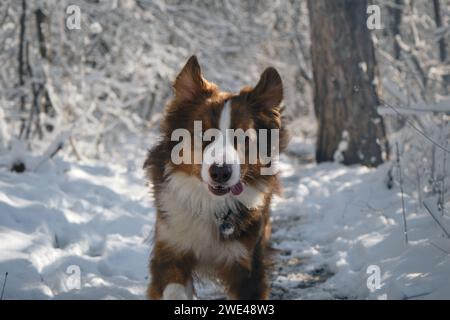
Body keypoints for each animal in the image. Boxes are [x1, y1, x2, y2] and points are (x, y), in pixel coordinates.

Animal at [146, 55, 290, 300]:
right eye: (204, 134)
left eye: (243, 137)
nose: (220, 172)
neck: (210, 203)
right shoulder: (170, 249)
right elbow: (173, 288)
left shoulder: (247, 264)